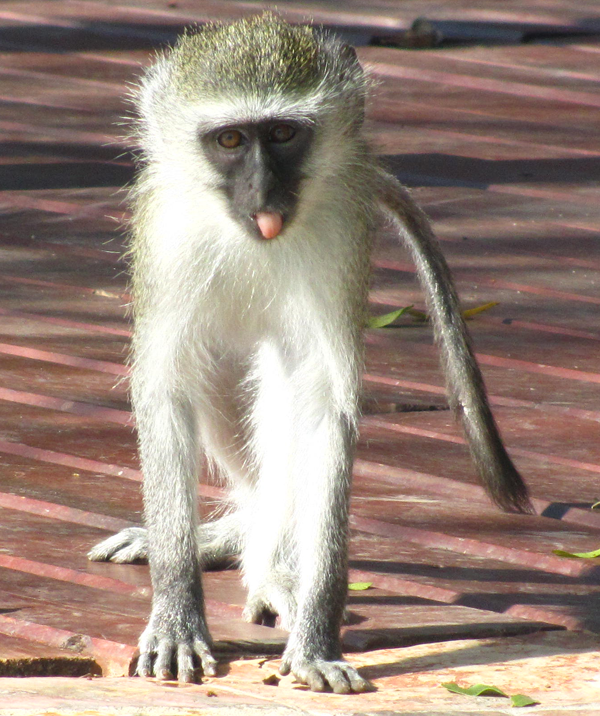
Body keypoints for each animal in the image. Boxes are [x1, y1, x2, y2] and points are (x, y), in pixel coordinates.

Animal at [88, 13, 532, 694]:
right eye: (231, 140)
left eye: (283, 134)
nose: (264, 193)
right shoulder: (167, 231)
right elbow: (169, 388)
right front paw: (177, 610)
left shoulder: (339, 230)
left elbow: (322, 404)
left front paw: (316, 629)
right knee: (217, 374)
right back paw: (235, 538)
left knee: (284, 386)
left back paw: (269, 561)